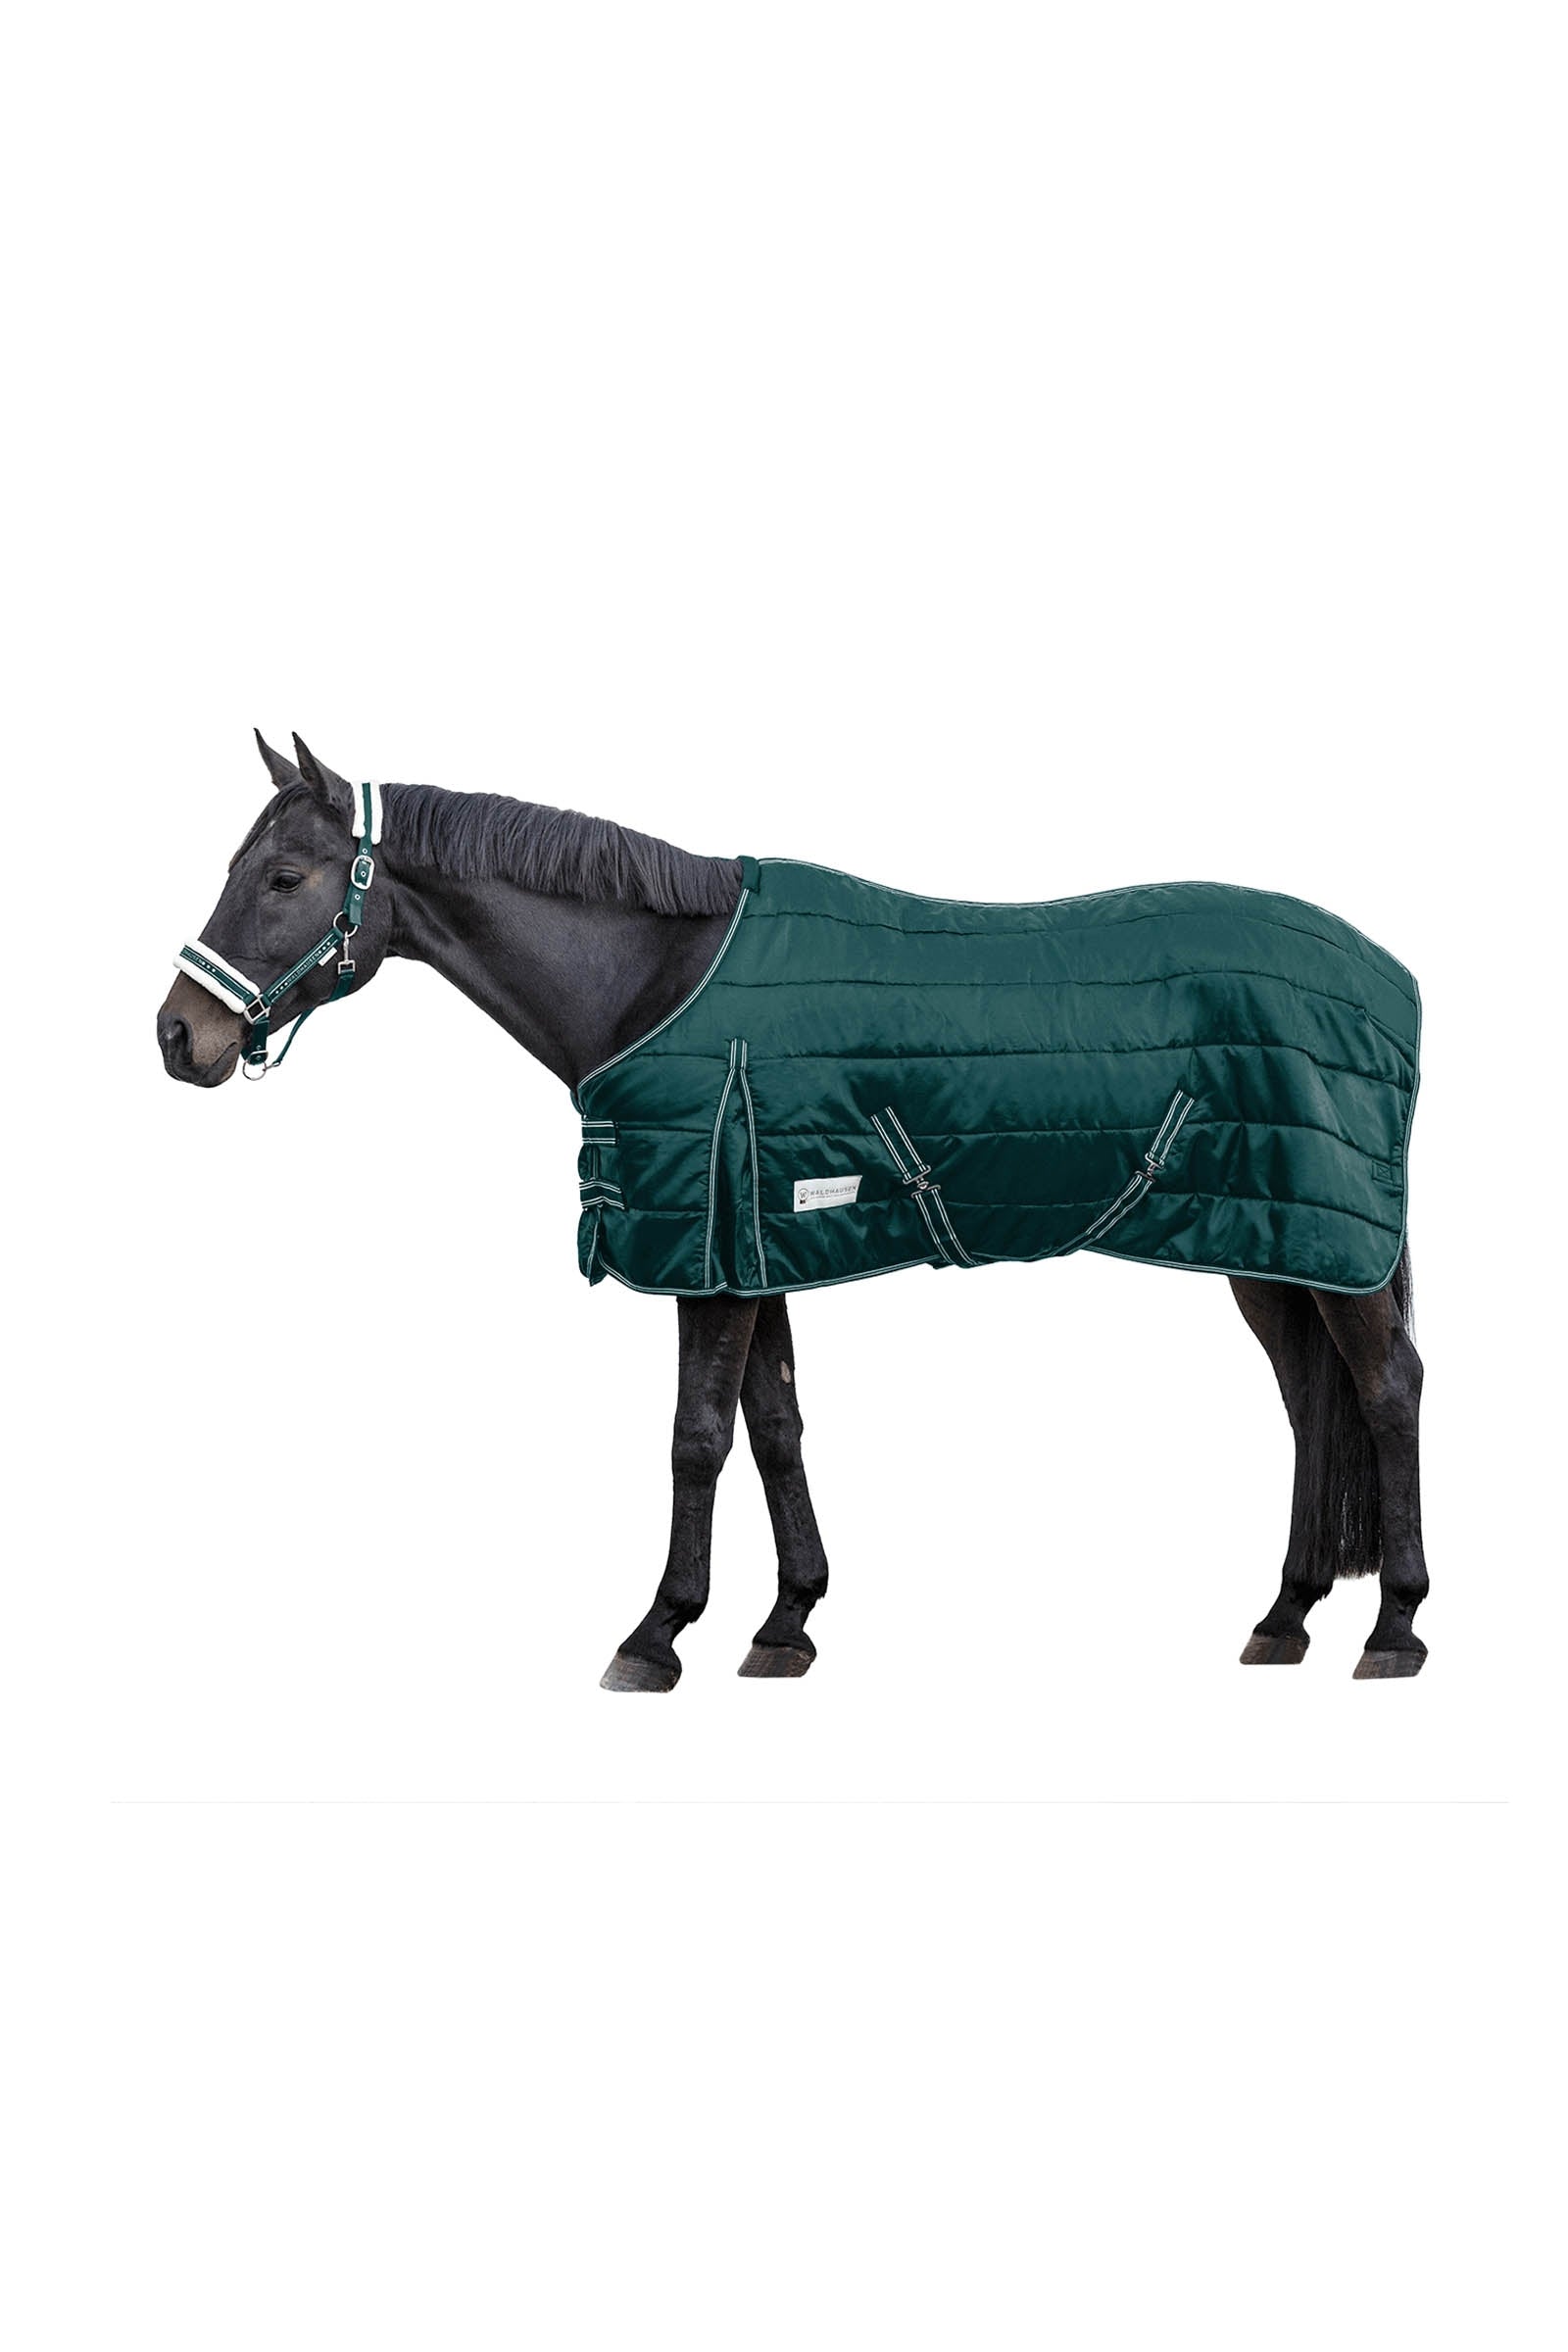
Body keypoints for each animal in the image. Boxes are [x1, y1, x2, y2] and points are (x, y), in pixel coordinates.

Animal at [157, 733, 1428, 1688]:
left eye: (283, 878)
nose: (180, 1035)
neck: (658, 983)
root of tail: (1386, 976)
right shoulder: (753, 1243)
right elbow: (773, 1426)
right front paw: (786, 1624)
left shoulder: (709, 1249)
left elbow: (696, 1436)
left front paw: (656, 1634)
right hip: (1271, 1242)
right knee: (1309, 1404)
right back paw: (1284, 1618)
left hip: (1325, 1243)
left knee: (1384, 1389)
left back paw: (1393, 1628)